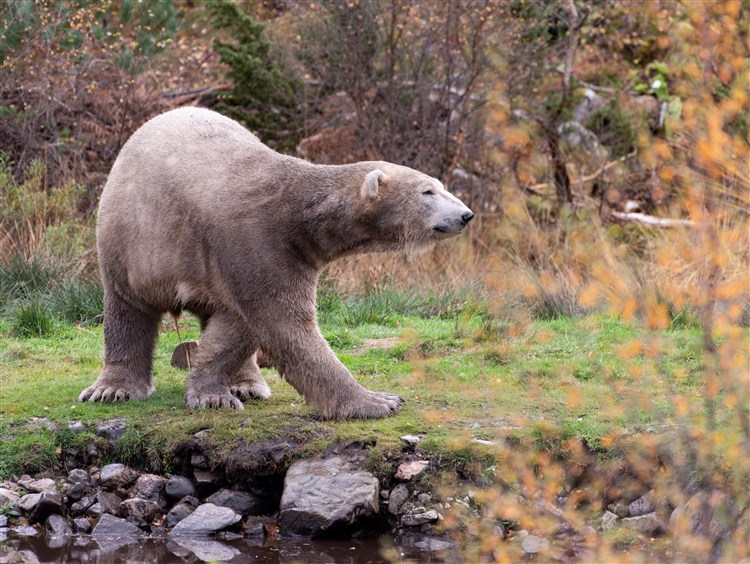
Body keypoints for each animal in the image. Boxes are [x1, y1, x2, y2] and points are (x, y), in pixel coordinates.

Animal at [79, 107, 474, 419]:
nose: (466, 214)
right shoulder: (257, 241)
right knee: (128, 307)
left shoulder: (276, 257)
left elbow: (240, 326)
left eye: (439, 185)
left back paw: (247, 384)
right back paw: (114, 388)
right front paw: (377, 401)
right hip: (131, 239)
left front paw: (212, 391)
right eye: (427, 191)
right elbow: (286, 326)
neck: (298, 214)